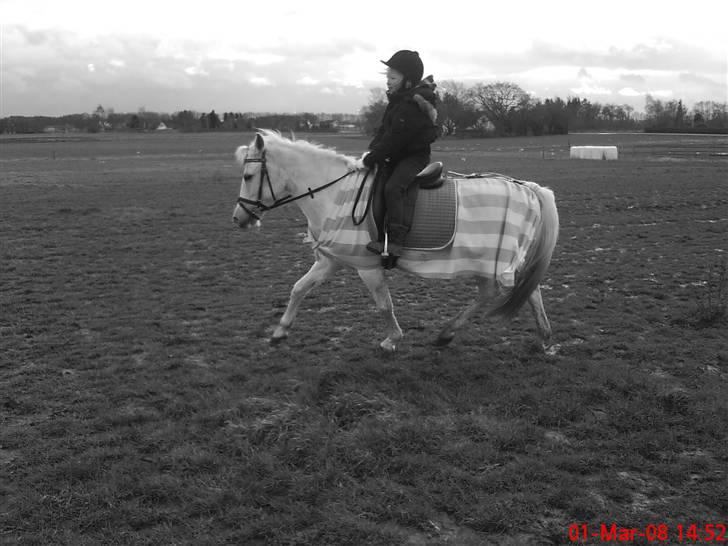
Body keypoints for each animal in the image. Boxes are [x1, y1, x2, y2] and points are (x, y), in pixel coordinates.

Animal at [233, 132, 556, 352]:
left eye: (248, 175)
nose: (239, 219)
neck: (334, 193)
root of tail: (527, 188)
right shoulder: (330, 261)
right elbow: (299, 288)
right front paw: (280, 331)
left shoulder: (367, 266)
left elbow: (383, 304)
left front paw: (391, 339)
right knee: (524, 292)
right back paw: (541, 338)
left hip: (491, 260)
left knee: (499, 292)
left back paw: (450, 332)